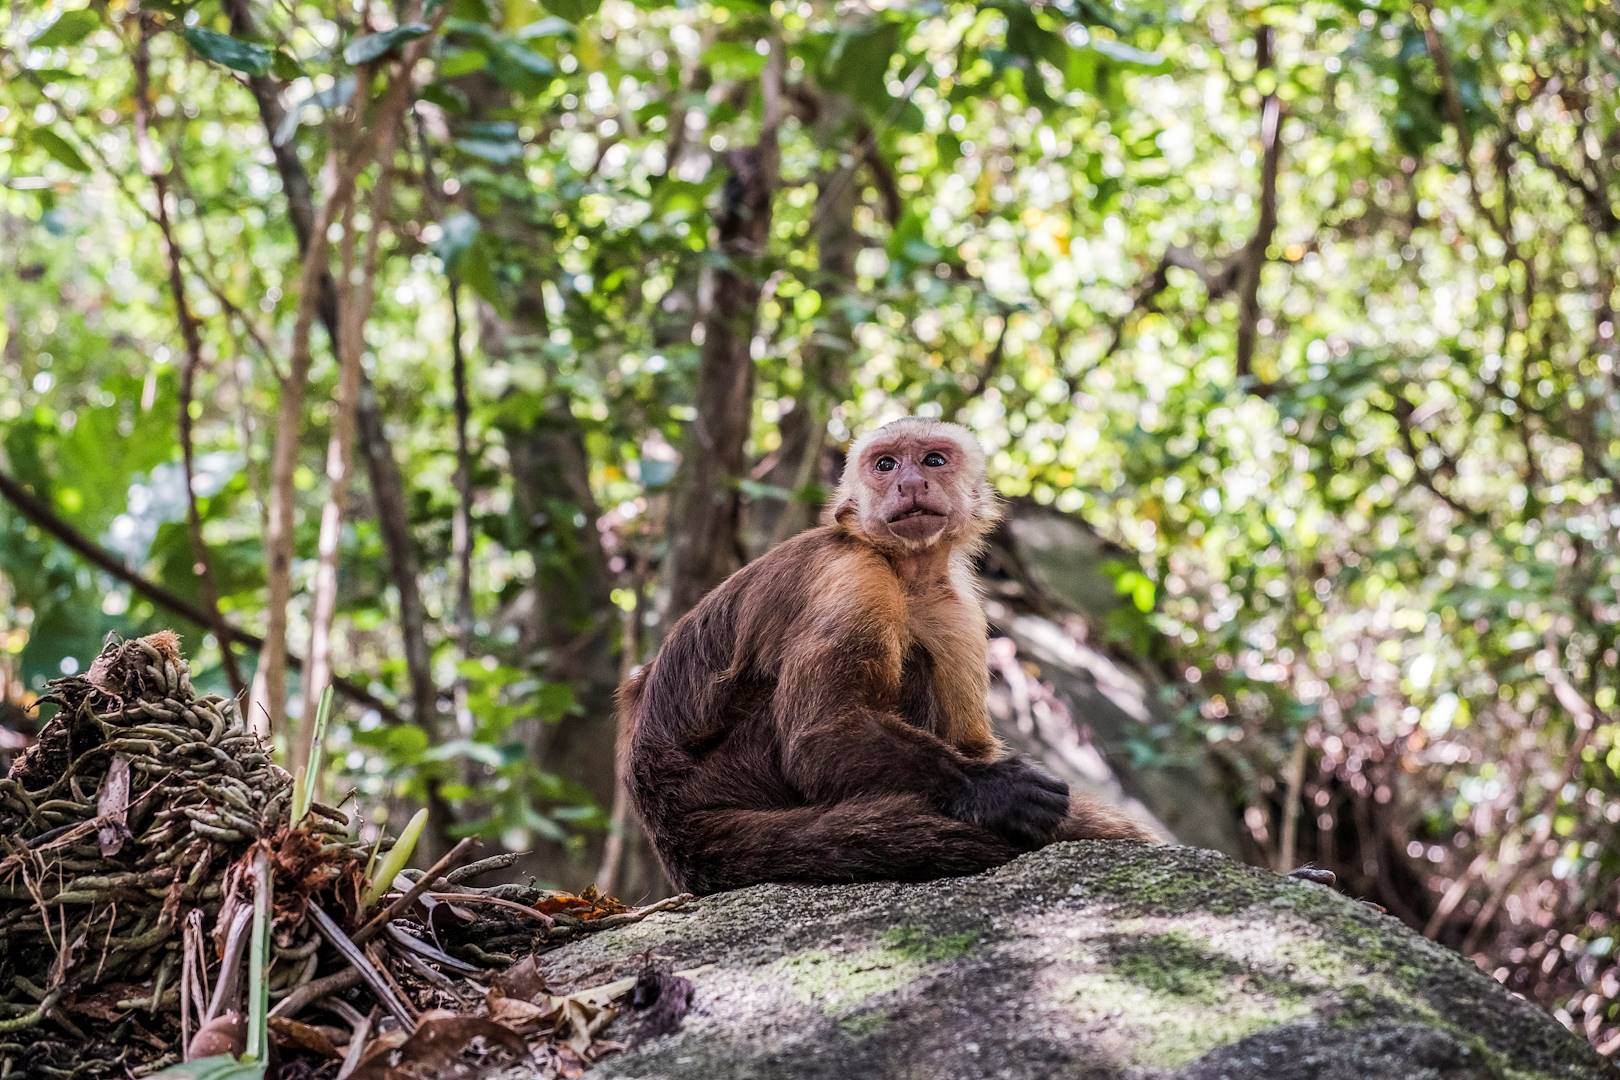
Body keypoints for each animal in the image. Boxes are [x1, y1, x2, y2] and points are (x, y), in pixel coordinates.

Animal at [618, 417, 1158, 896]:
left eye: (933, 460)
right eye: (885, 464)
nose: (911, 482)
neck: (904, 570)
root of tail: (667, 824)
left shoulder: (957, 608)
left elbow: (967, 739)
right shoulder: (852, 575)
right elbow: (820, 738)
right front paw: (992, 790)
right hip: (731, 776)